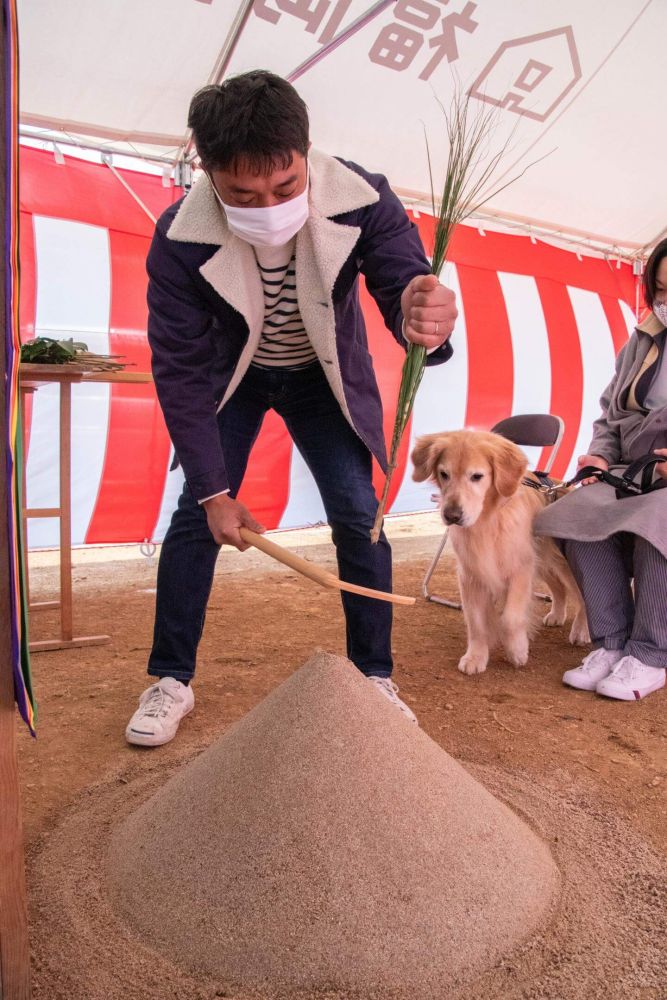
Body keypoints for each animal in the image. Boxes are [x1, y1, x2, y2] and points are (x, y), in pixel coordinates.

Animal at [412, 432, 588, 680]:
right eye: (444, 474)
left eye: (477, 476)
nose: (452, 515)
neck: (489, 519)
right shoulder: (471, 574)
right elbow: (475, 621)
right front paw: (475, 657)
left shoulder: (520, 568)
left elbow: (510, 618)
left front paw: (517, 650)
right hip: (544, 562)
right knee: (559, 589)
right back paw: (556, 615)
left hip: (564, 564)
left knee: (585, 597)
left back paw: (581, 630)